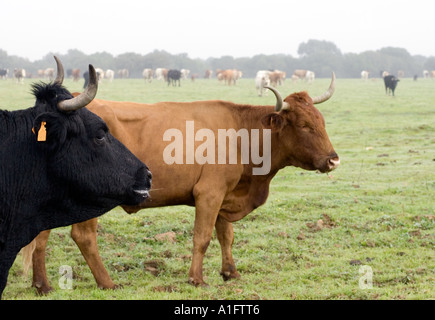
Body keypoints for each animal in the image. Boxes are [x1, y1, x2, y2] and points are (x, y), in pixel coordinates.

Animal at [25, 74, 340, 294]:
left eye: (322, 122)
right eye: (304, 126)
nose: (334, 160)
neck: (240, 132)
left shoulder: (223, 196)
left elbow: (226, 236)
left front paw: (230, 273)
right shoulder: (209, 195)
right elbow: (202, 238)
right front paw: (196, 279)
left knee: (41, 236)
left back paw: (42, 285)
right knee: (84, 236)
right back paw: (107, 283)